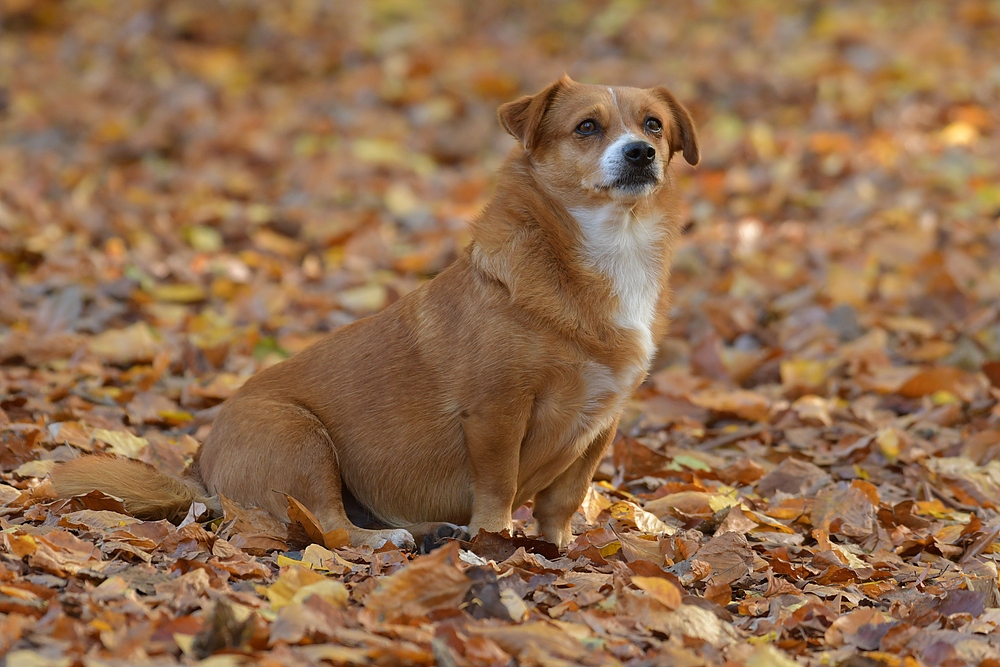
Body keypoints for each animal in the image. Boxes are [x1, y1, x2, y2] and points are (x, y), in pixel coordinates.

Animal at [50, 75, 700, 552]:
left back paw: (430, 532)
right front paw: (497, 542)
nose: (640, 152)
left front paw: (557, 549)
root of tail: (202, 473)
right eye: (587, 127)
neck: (605, 251)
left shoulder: (601, 423)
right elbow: (498, 486)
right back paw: (389, 541)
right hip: (302, 442)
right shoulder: (497, 411)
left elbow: (562, 502)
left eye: (653, 125)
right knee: (331, 529)